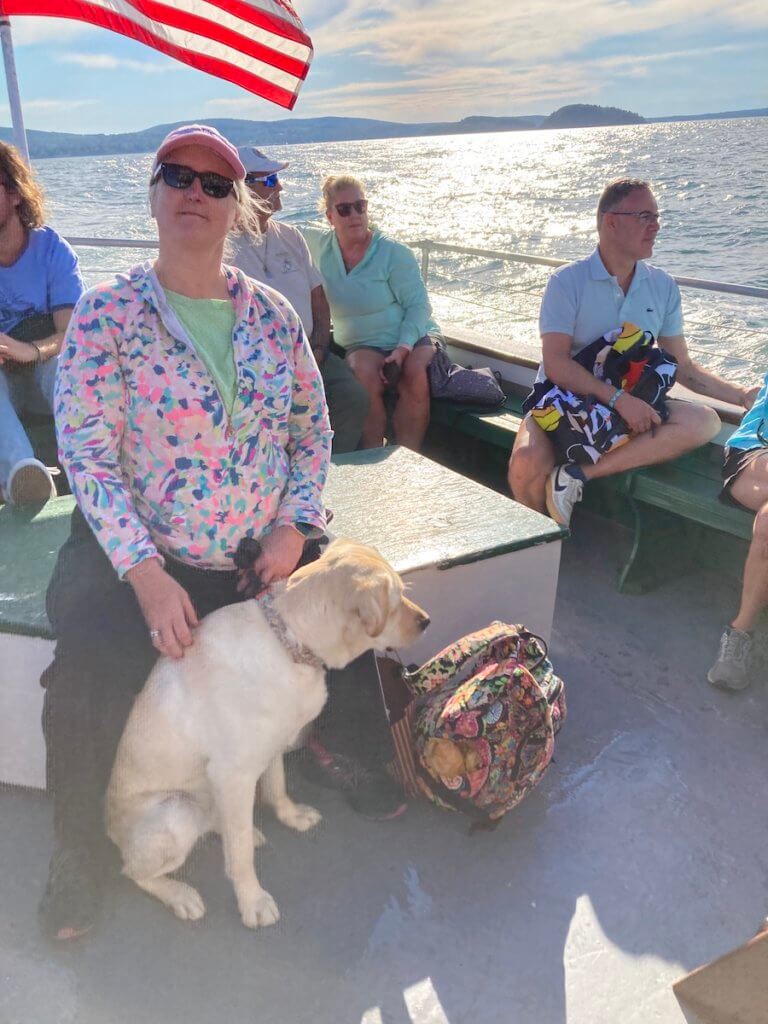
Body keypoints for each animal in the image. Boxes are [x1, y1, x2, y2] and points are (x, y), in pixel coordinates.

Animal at [107, 540, 434, 933]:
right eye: (395, 600)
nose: (427, 621)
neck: (290, 641)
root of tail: (109, 831)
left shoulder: (272, 744)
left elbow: (277, 788)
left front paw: (291, 817)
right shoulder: (232, 774)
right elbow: (241, 857)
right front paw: (253, 902)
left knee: (218, 823)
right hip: (176, 810)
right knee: (133, 872)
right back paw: (180, 894)